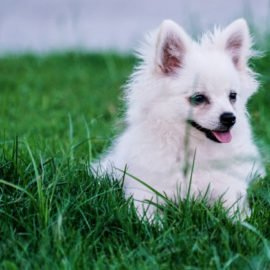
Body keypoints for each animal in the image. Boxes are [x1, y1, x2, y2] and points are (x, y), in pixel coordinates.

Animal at [92, 18, 264, 219]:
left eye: (233, 96)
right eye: (198, 98)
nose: (230, 118)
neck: (194, 149)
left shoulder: (228, 189)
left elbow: (236, 213)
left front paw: (238, 222)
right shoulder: (144, 191)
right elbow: (146, 215)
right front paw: (154, 224)